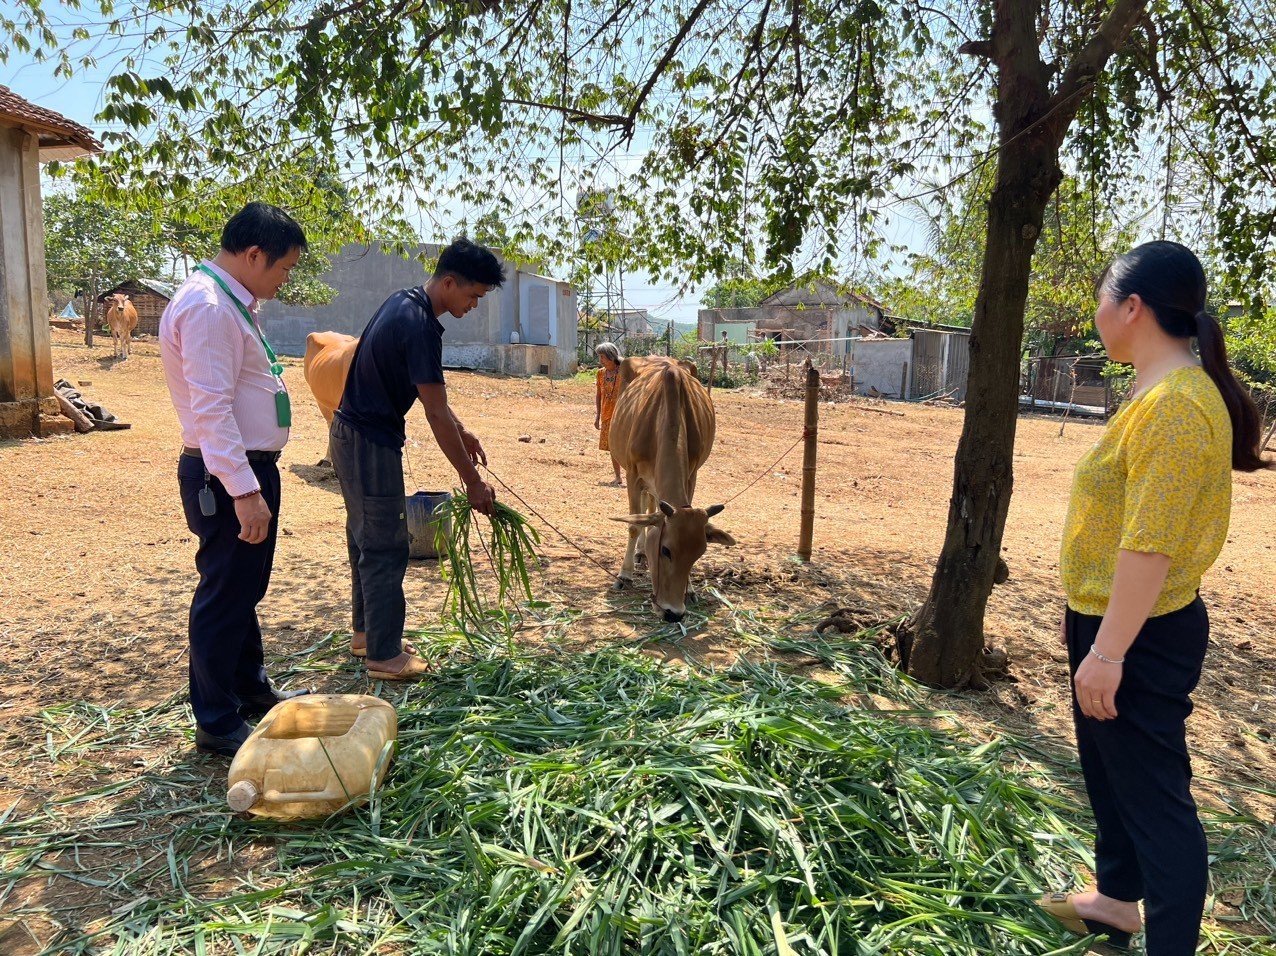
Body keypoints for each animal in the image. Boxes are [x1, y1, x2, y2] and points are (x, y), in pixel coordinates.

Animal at [604, 357, 734, 620]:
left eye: (700, 553)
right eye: (665, 550)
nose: (673, 613)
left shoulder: (692, 475)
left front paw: (690, 589)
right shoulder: (632, 474)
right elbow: (634, 525)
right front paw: (624, 575)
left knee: (652, 503)